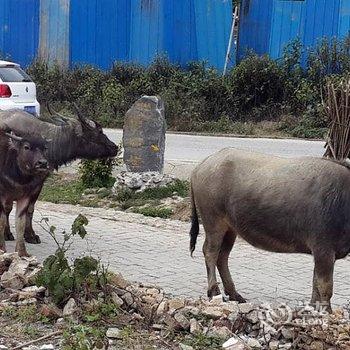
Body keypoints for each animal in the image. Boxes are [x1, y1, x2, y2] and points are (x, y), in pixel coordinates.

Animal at [190, 148, 350, 312]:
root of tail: (202, 165)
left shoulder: (321, 253)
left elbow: (315, 283)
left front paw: (312, 308)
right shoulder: (323, 249)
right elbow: (325, 286)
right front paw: (327, 312)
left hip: (230, 229)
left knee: (222, 256)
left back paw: (235, 294)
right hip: (213, 222)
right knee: (210, 252)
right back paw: (214, 291)